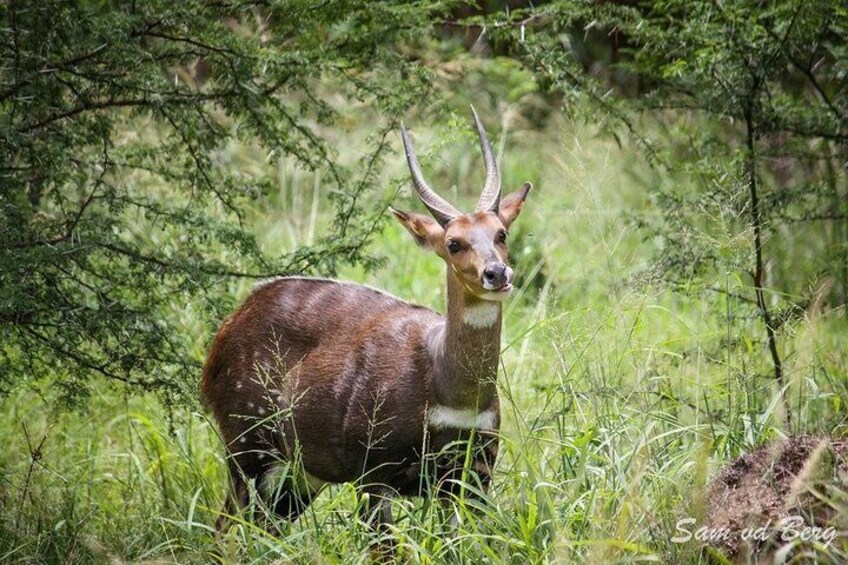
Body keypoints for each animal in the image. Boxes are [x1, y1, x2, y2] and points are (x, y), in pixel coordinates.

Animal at [202, 109, 528, 536]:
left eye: (501, 233)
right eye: (454, 243)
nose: (497, 273)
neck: (448, 391)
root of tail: (217, 345)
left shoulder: (472, 475)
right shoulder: (374, 469)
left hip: (297, 474)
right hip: (245, 443)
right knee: (225, 525)